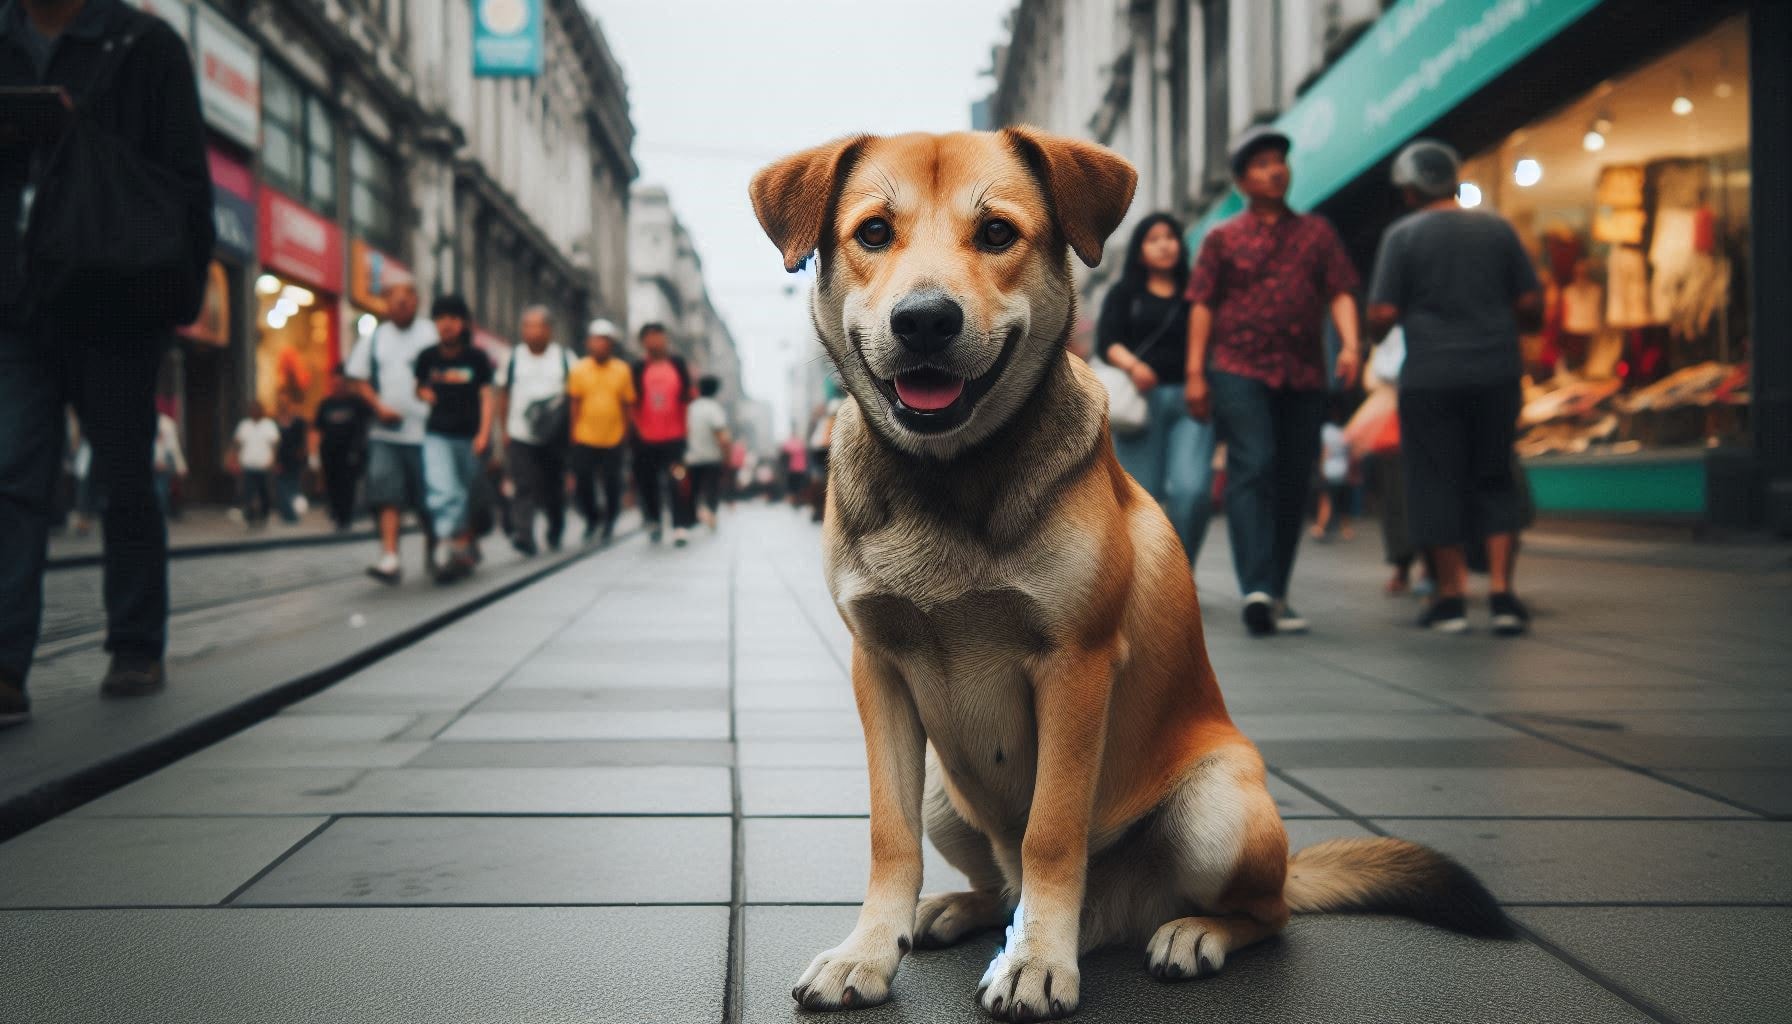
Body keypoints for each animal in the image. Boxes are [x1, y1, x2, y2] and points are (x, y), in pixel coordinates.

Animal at [741, 130, 1512, 1024]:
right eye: (872, 232)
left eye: (998, 233)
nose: (926, 320)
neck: (951, 477)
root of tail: (1114, 917)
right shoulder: (881, 671)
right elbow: (887, 835)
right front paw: (869, 952)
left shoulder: (1075, 668)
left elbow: (1052, 831)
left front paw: (1038, 962)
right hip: (945, 794)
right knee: (998, 882)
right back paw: (957, 909)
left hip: (1217, 809)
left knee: (1265, 910)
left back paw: (1191, 932)